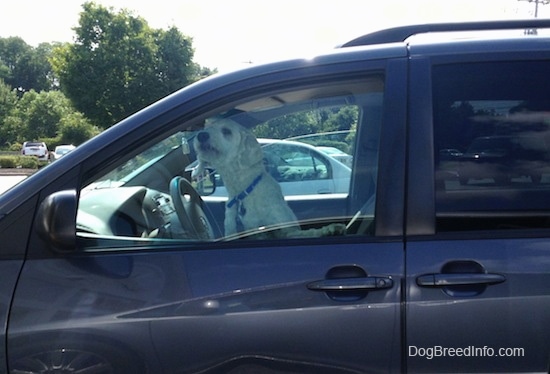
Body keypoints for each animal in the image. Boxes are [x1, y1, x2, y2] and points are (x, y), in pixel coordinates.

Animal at [193, 118, 344, 238]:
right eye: (207, 127)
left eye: (226, 131)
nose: (201, 135)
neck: (244, 191)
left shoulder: (285, 227)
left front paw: (328, 229)